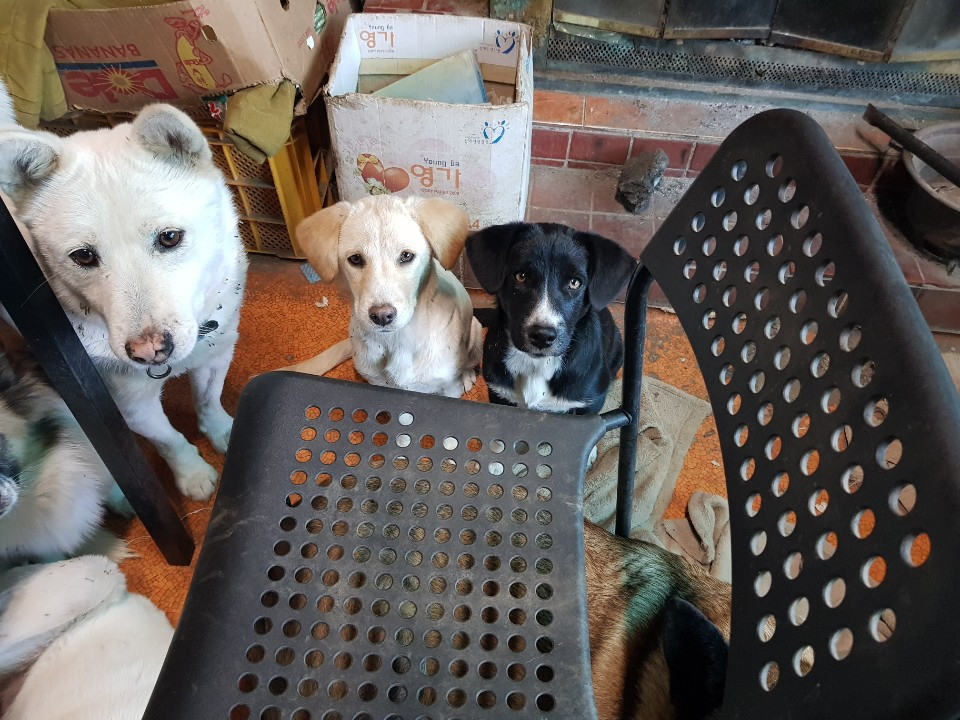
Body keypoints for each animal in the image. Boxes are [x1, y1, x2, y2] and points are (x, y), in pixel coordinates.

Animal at [0, 82, 247, 500]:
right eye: (83, 256)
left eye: (170, 237)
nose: (150, 352)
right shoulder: (130, 406)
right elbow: (169, 441)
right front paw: (193, 474)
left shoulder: (216, 356)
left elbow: (208, 402)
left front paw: (224, 433)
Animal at [287, 195, 482, 397]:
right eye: (355, 259)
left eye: (406, 255)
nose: (382, 316)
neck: (397, 342)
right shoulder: (378, 384)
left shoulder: (449, 388)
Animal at [466, 222, 636, 414]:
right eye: (521, 276)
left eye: (575, 282)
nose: (542, 336)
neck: (537, 366)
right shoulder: (499, 395)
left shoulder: (589, 405)